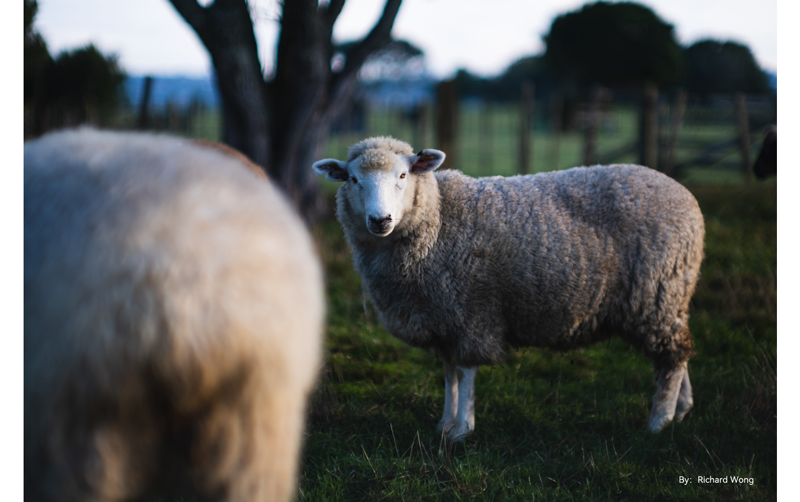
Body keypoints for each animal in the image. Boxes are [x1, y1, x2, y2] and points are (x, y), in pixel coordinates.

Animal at [312, 136, 704, 440]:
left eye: (403, 175)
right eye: (352, 179)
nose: (380, 220)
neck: (438, 221)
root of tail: (685, 196)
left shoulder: (470, 310)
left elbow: (467, 371)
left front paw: (462, 430)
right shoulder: (442, 318)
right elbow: (449, 374)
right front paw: (444, 424)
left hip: (656, 292)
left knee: (671, 358)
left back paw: (658, 422)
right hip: (668, 298)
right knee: (679, 352)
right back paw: (682, 410)